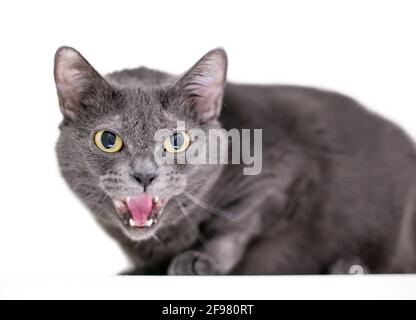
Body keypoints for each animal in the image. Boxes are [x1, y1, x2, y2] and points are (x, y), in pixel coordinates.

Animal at [55, 46, 416, 274]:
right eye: (108, 140)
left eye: (176, 140)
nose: (145, 175)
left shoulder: (283, 173)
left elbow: (235, 222)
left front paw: (200, 261)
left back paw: (349, 268)